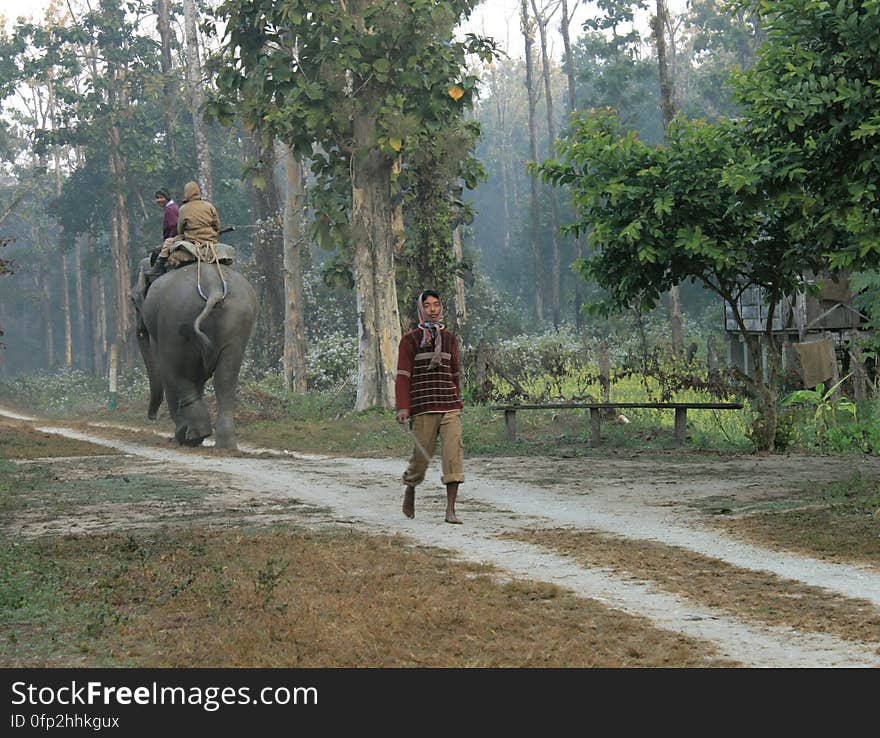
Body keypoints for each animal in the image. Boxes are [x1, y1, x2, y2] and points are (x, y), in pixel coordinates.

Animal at [130, 256, 258, 446]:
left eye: (132, 299)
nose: (151, 417)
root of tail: (213, 288)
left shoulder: (159, 330)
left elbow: (165, 370)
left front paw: (180, 436)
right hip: (238, 321)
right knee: (225, 379)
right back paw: (224, 445)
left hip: (174, 322)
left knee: (176, 373)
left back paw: (191, 435)